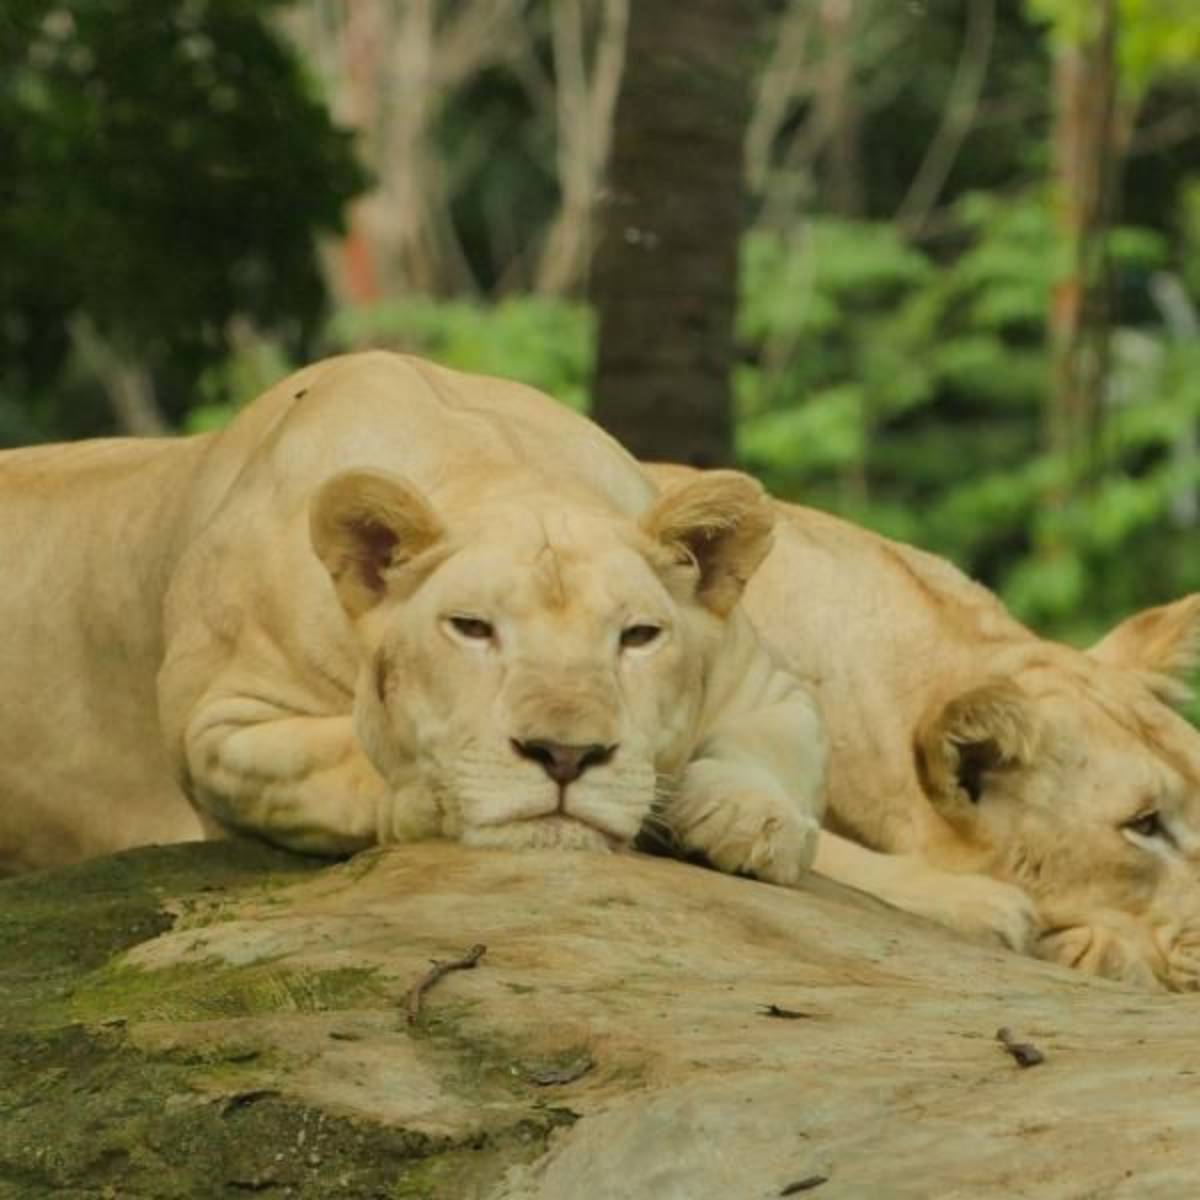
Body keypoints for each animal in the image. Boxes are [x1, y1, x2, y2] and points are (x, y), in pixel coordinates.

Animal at [0, 353, 825, 887]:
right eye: (472, 628)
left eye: (638, 637)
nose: (565, 756)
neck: (503, 472)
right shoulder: (221, 727)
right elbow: (342, 753)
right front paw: (437, 793)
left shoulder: (766, 685)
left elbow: (771, 749)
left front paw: (750, 822)